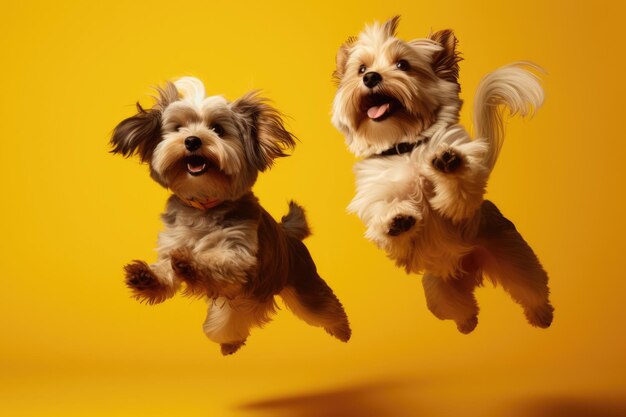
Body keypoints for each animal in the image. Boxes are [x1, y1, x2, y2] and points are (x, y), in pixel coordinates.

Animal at [109, 76, 348, 352]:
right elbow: (166, 271)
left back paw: (343, 332)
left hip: (304, 285)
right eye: (178, 128)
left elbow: (215, 263)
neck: (203, 206)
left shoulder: (239, 256)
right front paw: (146, 277)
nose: (192, 140)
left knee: (325, 308)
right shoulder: (172, 242)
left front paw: (190, 263)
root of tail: (287, 235)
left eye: (218, 129)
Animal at [332, 17, 552, 334]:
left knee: (531, 288)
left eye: (403, 65)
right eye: (361, 69)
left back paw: (541, 315)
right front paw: (396, 219)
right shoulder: (378, 206)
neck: (405, 146)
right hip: (439, 293)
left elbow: (457, 189)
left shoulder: (461, 202)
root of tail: (471, 268)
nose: (371, 77)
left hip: (515, 261)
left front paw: (447, 162)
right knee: (463, 309)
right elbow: (386, 220)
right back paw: (467, 323)